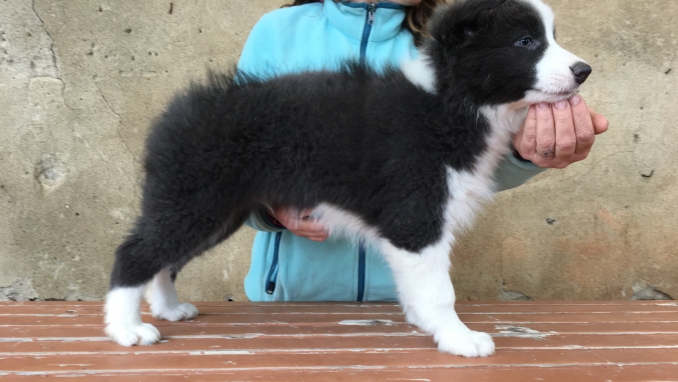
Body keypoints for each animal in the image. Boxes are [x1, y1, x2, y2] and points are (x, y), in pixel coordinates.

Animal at [103, 0, 592, 358]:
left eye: (550, 37)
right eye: (525, 41)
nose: (584, 70)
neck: (449, 100)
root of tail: (173, 116)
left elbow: (419, 285)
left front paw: (425, 322)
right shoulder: (416, 213)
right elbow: (440, 290)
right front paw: (458, 338)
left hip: (214, 209)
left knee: (166, 258)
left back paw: (168, 308)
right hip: (196, 198)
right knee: (136, 253)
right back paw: (127, 329)